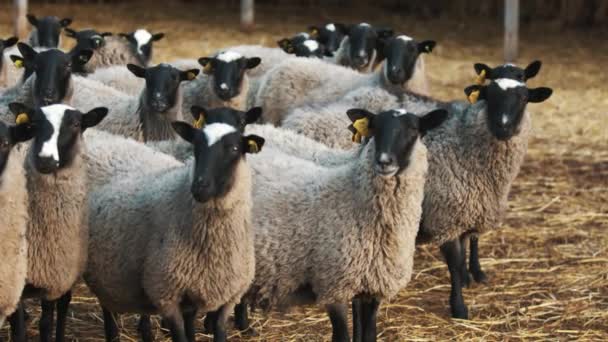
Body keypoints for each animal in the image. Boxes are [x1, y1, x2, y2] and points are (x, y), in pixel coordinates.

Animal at [8, 101, 108, 342]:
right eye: (33, 124)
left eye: (75, 124)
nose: (45, 159)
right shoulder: (16, 282)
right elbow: (19, 328)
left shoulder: (54, 278)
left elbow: (46, 324)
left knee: (63, 307)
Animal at [238, 107, 446, 342]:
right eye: (375, 128)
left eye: (413, 130)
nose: (384, 161)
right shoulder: (334, 284)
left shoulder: (372, 286)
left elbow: (368, 334)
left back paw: (245, 328)